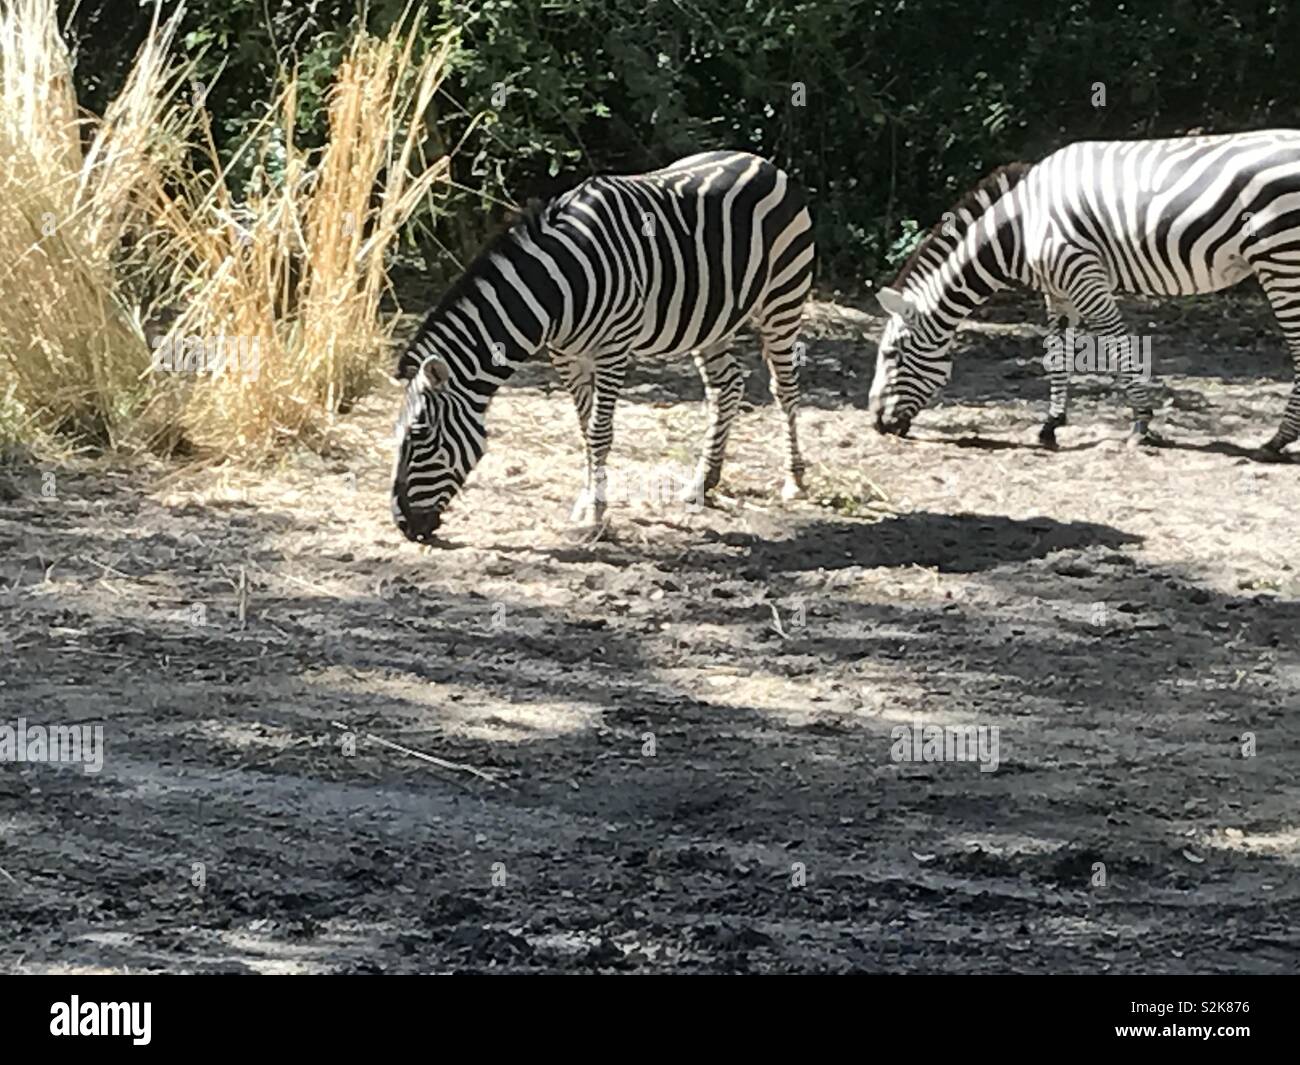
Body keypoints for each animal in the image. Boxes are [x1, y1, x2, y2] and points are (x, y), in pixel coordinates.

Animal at [387, 150, 811, 540]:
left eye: (420, 435)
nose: (403, 525)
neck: (555, 287)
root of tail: (761, 161)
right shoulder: (566, 355)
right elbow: (585, 429)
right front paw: (587, 502)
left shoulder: (613, 349)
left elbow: (599, 431)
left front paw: (595, 511)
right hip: (712, 320)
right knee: (727, 388)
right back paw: (703, 482)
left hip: (782, 300)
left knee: (784, 389)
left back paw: (794, 481)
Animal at [868, 128, 1300, 455]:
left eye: (892, 354)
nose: (876, 424)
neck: (1022, 227)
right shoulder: (1058, 290)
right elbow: (1057, 354)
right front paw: (1051, 425)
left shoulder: (1084, 275)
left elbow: (1117, 345)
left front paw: (1141, 425)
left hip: (1281, 259)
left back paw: (1278, 440)